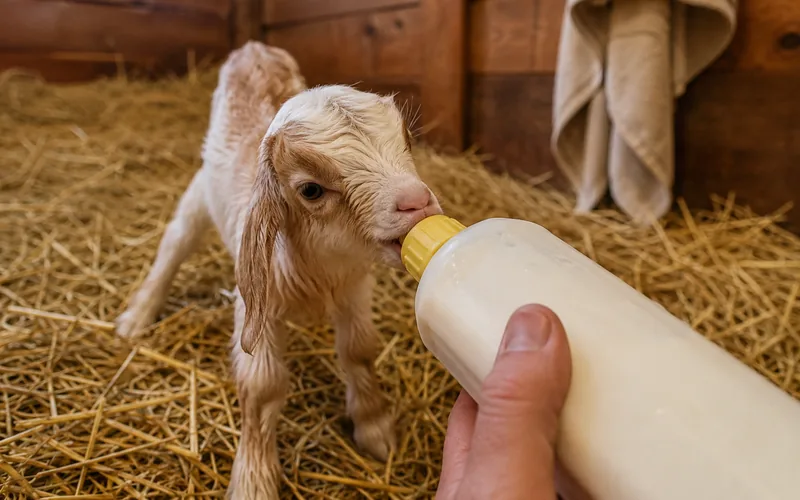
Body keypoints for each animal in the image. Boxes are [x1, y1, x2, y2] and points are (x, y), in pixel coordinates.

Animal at [115, 41, 442, 499]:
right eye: (311, 190)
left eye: (408, 141)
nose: (416, 202)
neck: (319, 269)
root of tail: (253, 47)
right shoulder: (259, 307)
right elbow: (262, 384)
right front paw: (253, 479)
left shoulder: (354, 289)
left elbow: (359, 349)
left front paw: (375, 427)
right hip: (200, 191)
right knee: (176, 241)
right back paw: (138, 316)